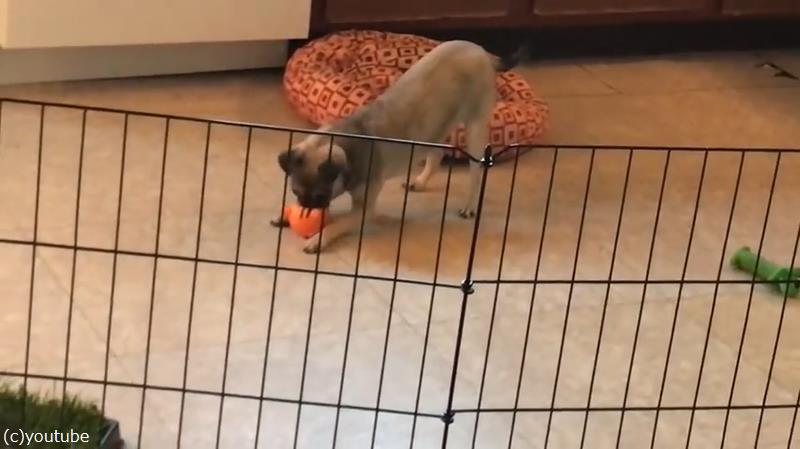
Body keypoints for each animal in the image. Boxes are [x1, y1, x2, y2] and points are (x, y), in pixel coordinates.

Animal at [272, 40, 525, 254]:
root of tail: (483, 52)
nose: (305, 207)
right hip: (433, 128)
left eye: (319, 195)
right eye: (296, 192)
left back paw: (470, 204)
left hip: (474, 128)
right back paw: (420, 181)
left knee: (475, 173)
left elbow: (338, 224)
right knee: (436, 154)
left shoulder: (363, 210)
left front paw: (319, 238)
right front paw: (288, 215)